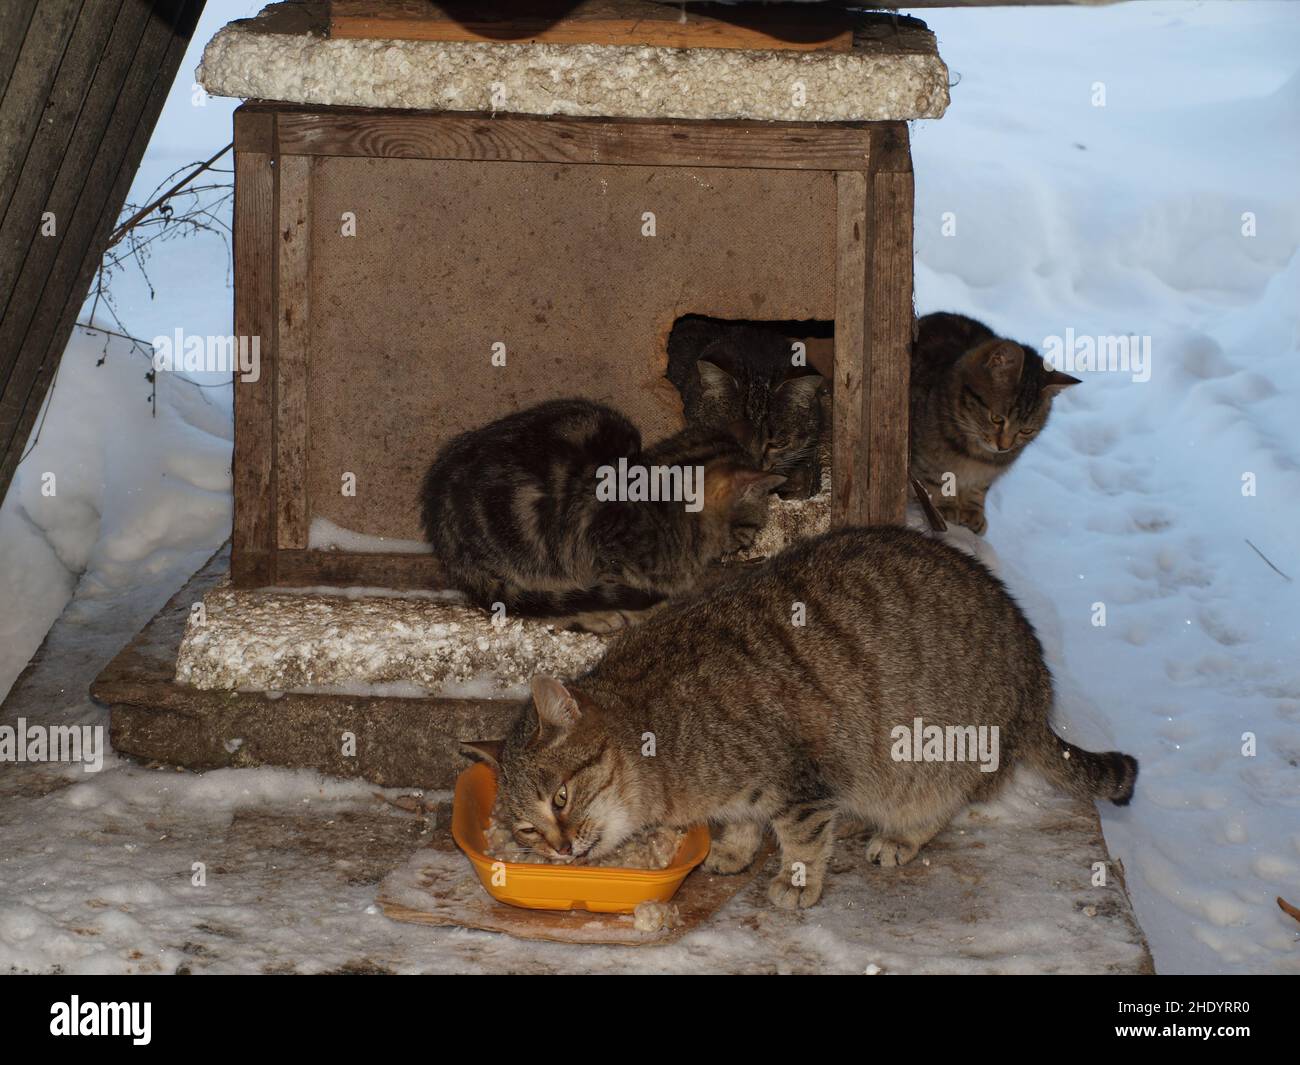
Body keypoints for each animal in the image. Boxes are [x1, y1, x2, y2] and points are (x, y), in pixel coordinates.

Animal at [467, 525, 1138, 910]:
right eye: (526, 830)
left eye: (560, 799)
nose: (558, 849)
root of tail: (1036, 681)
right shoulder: (745, 794)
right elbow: (743, 824)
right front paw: (733, 850)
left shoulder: (800, 783)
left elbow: (801, 840)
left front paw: (795, 885)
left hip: (937, 758)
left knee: (939, 806)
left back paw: (898, 838)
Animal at [909, 312, 1081, 538]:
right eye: (997, 419)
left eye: (1026, 430)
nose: (1004, 447)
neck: (975, 455)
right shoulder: (924, 457)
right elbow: (937, 478)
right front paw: (946, 505)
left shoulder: (988, 473)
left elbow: (979, 487)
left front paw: (973, 510)